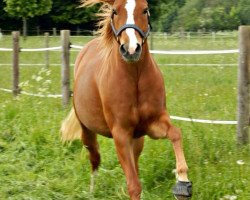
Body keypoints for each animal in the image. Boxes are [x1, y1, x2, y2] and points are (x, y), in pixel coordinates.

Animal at [61, 0, 192, 199]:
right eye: (115, 11)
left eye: (145, 10)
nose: (131, 49)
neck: (134, 78)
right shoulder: (120, 134)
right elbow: (133, 185)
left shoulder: (152, 124)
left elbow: (176, 133)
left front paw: (182, 183)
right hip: (87, 131)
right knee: (95, 158)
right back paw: (92, 191)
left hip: (137, 139)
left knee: (134, 161)